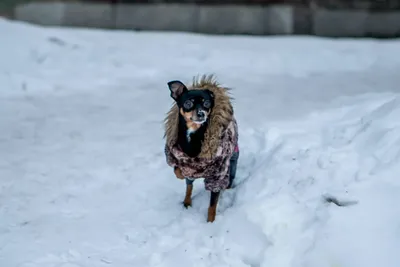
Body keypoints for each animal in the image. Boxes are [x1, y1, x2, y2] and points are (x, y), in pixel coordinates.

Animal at [164, 74, 239, 223]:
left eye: (207, 103)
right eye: (188, 103)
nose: (201, 114)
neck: (193, 133)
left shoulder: (218, 175)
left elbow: (212, 206)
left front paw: (210, 223)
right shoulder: (176, 157)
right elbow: (178, 171)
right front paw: (181, 174)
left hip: (233, 161)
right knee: (189, 186)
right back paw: (187, 202)